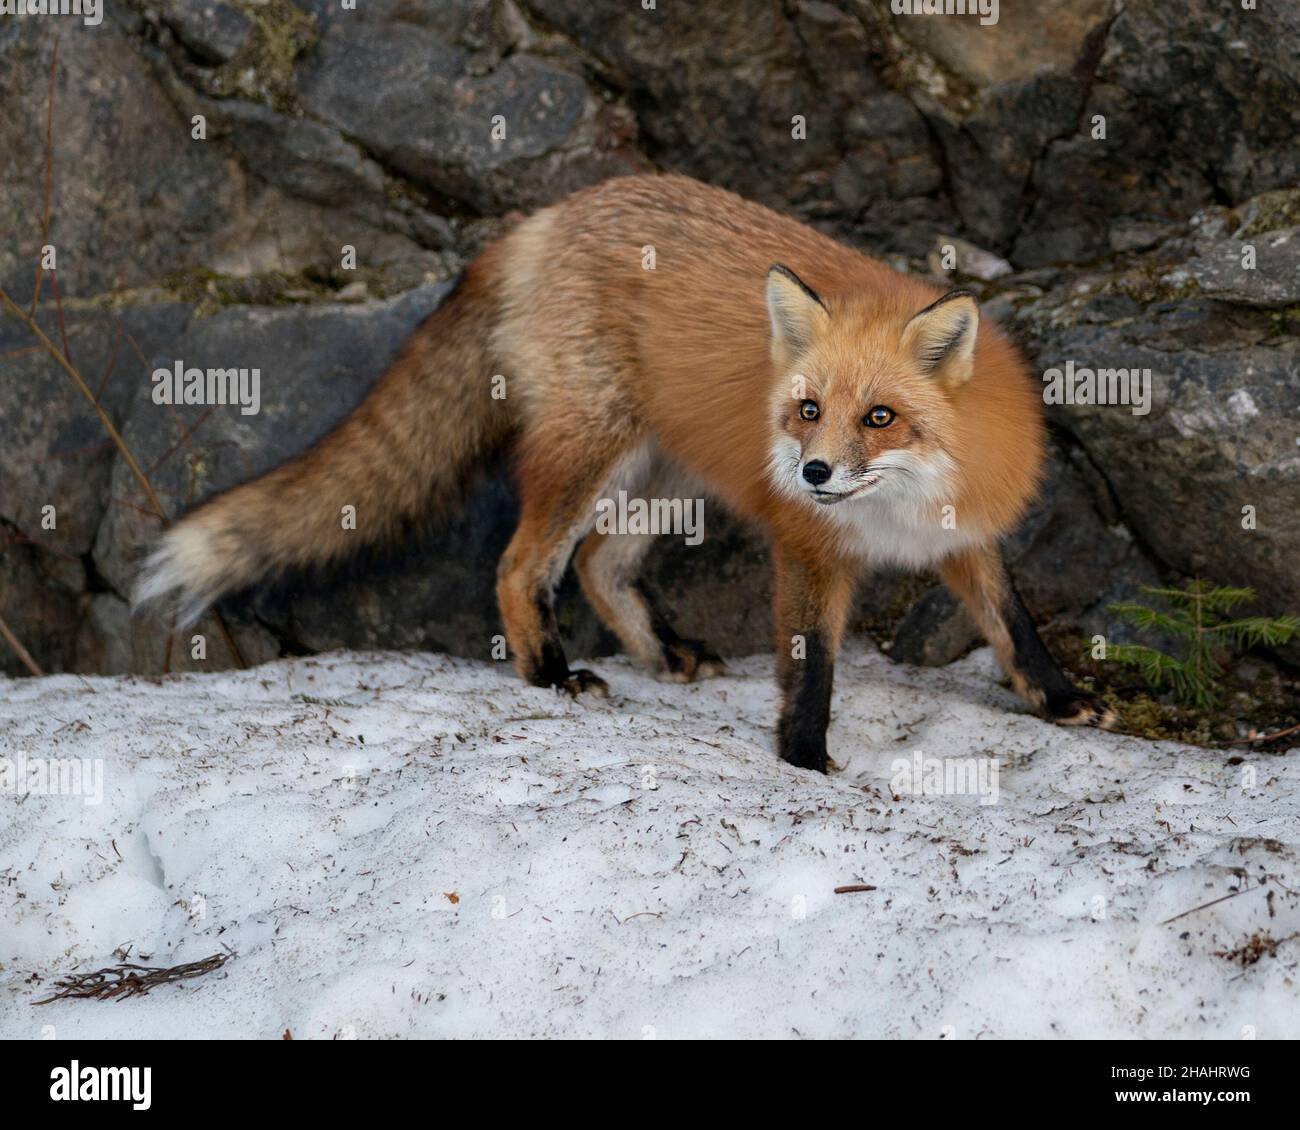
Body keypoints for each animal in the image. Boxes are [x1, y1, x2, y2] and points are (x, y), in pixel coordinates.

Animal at [136, 173, 1118, 772]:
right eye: (808, 410)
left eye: (881, 417)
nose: (814, 473)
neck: (899, 510)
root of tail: (547, 216)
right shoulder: (806, 548)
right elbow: (811, 666)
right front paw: (804, 758)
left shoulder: (966, 536)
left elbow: (1014, 628)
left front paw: (1064, 702)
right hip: (592, 451)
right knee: (523, 565)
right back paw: (550, 675)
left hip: (669, 475)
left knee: (600, 564)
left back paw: (661, 653)